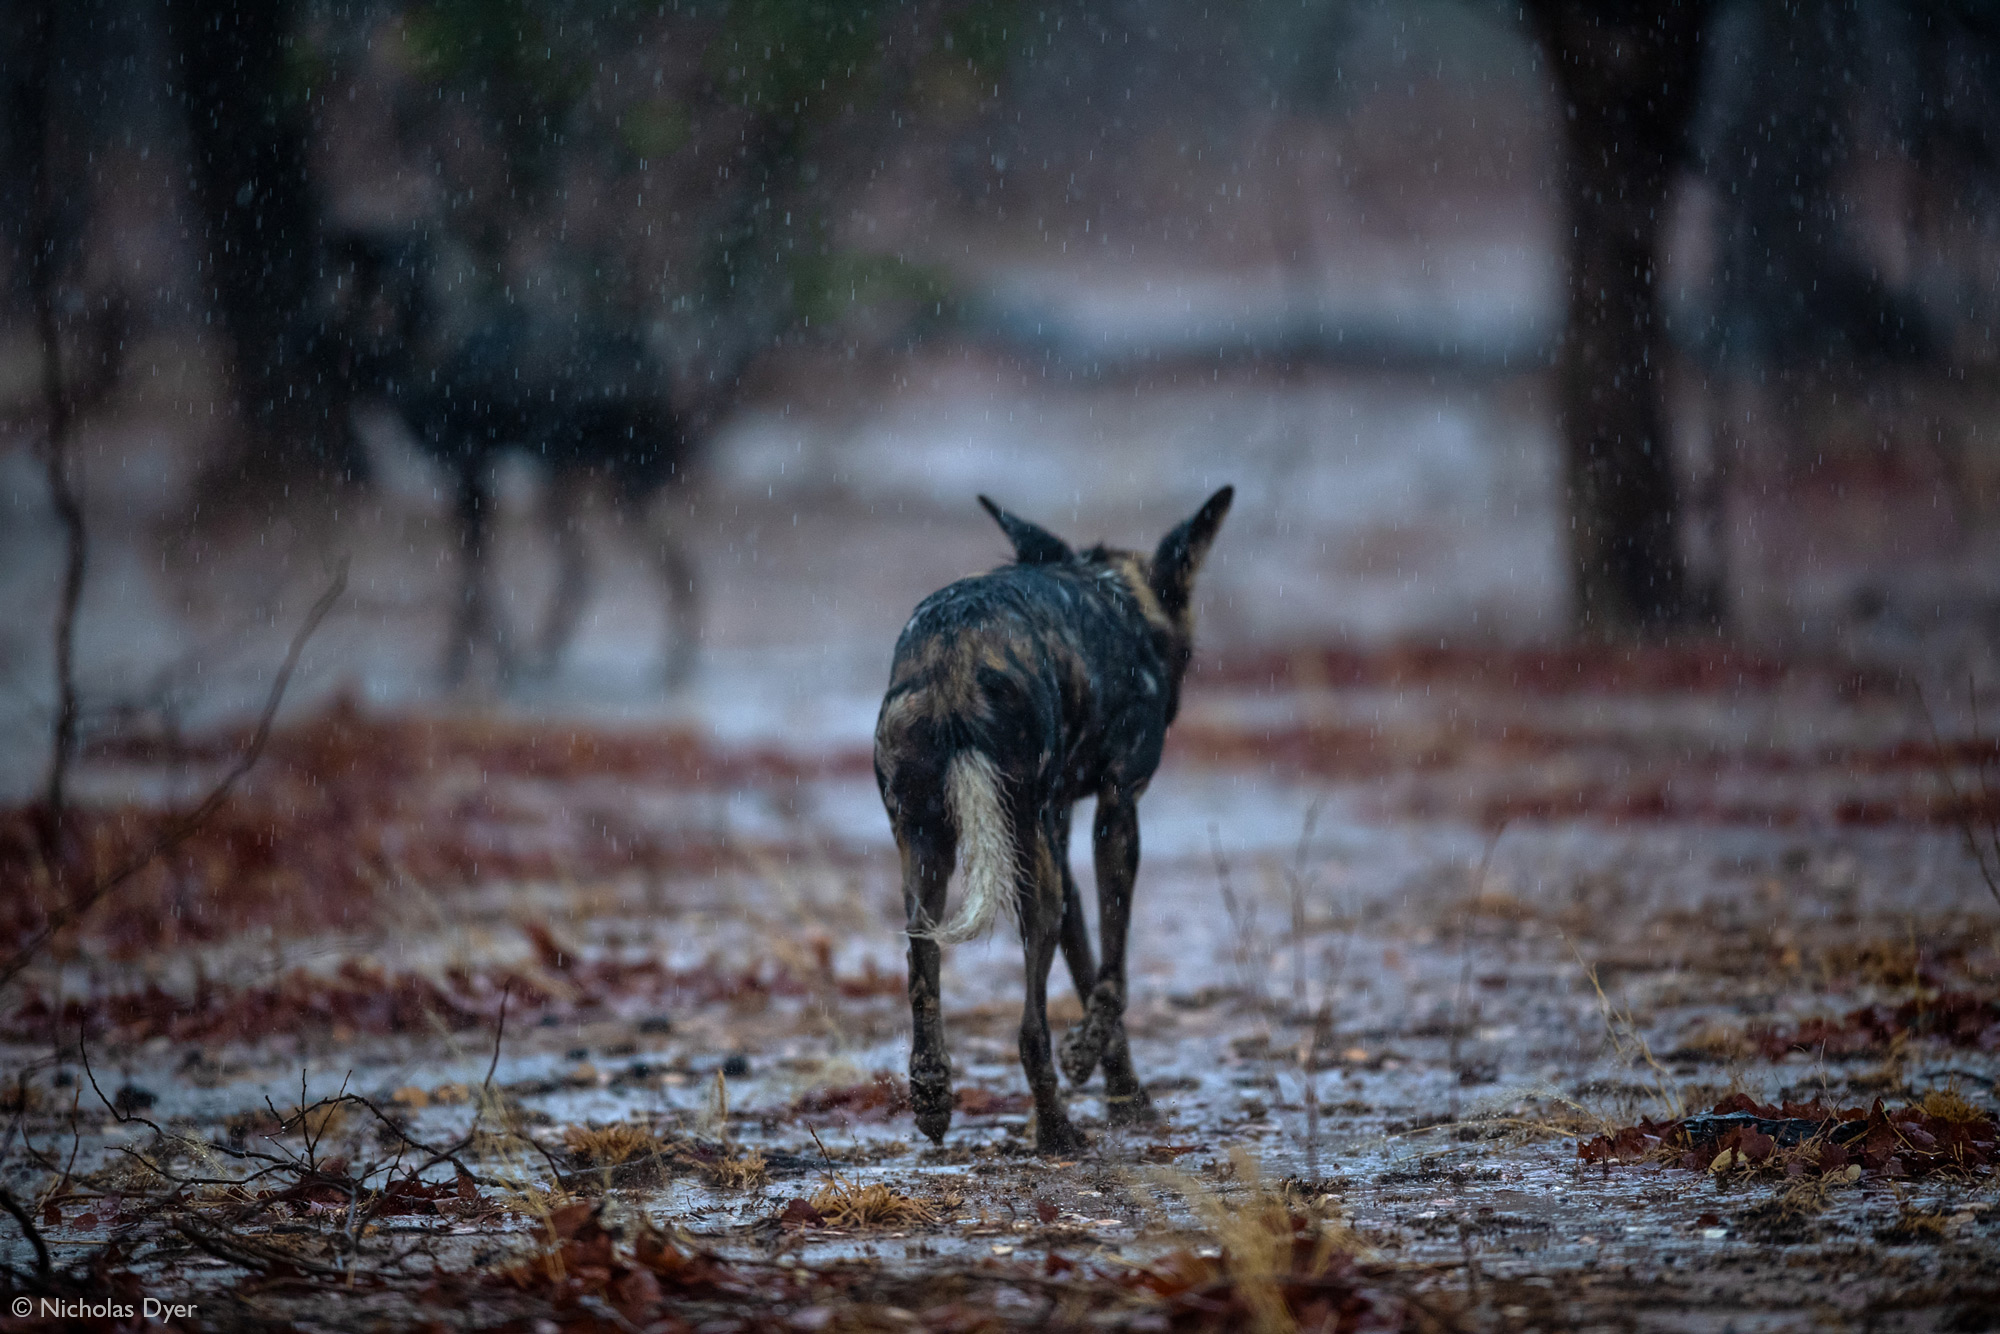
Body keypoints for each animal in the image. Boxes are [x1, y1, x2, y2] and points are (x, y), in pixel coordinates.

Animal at [880, 486, 1232, 1152]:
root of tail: (954, 653)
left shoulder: (1059, 831)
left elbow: (1086, 963)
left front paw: (1126, 1095)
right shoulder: (1118, 811)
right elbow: (1113, 974)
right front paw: (1089, 1058)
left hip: (931, 842)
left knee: (920, 956)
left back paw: (933, 1097)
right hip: (1028, 859)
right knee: (1028, 1025)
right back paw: (1056, 1130)